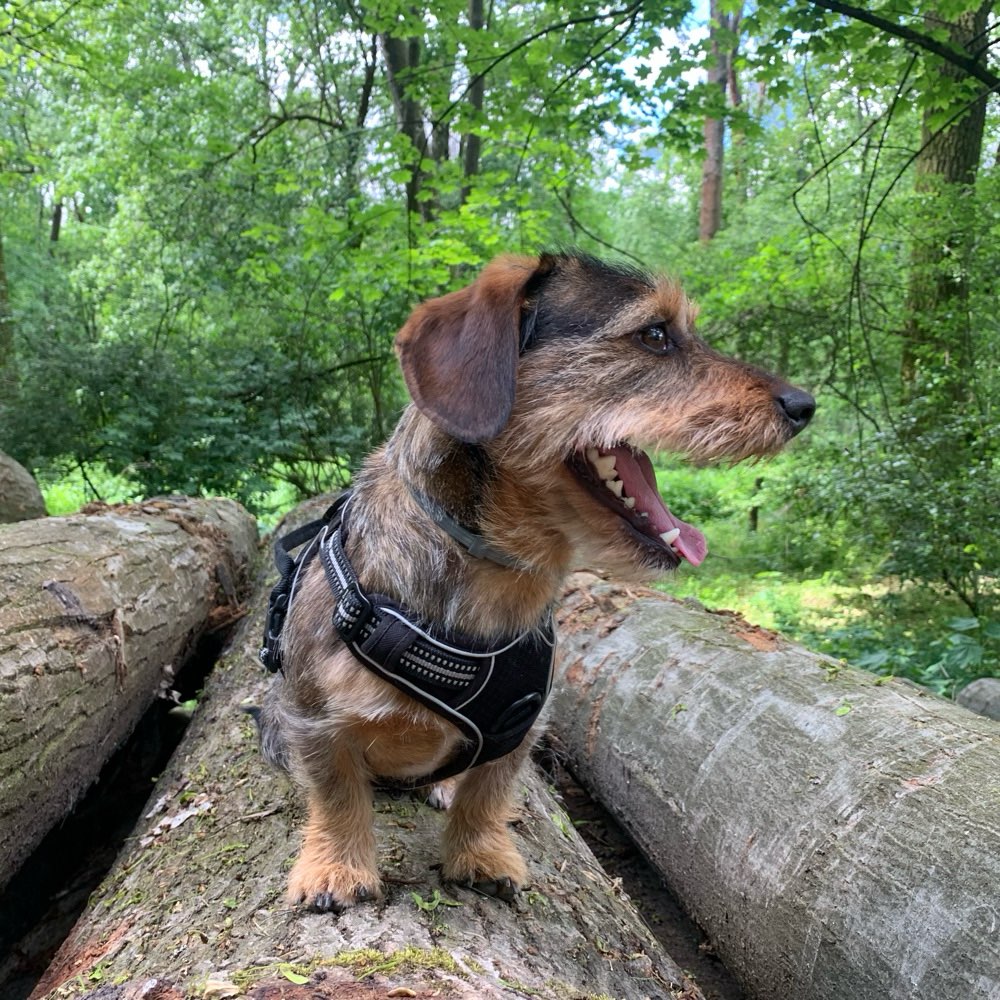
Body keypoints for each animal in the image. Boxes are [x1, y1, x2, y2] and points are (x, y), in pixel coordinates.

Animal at [258, 246, 812, 912]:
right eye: (654, 334)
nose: (805, 406)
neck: (495, 577)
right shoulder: (316, 719)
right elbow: (337, 793)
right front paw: (336, 866)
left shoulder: (520, 723)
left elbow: (488, 791)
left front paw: (480, 853)